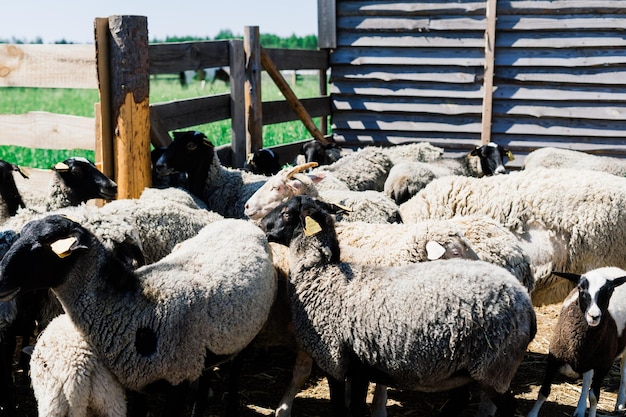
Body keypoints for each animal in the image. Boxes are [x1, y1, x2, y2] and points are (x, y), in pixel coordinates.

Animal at [0, 216, 276, 394]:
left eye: (41, 246)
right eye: (19, 237)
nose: (0, 280)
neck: (139, 308)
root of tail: (241, 222)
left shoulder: (177, 378)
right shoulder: (138, 382)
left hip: (246, 338)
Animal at [258, 195, 536, 416]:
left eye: (286, 212)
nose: (261, 225)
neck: (322, 273)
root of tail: (526, 304)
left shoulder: (333, 358)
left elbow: (340, 407)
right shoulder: (360, 367)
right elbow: (356, 406)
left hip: (493, 367)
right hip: (473, 369)